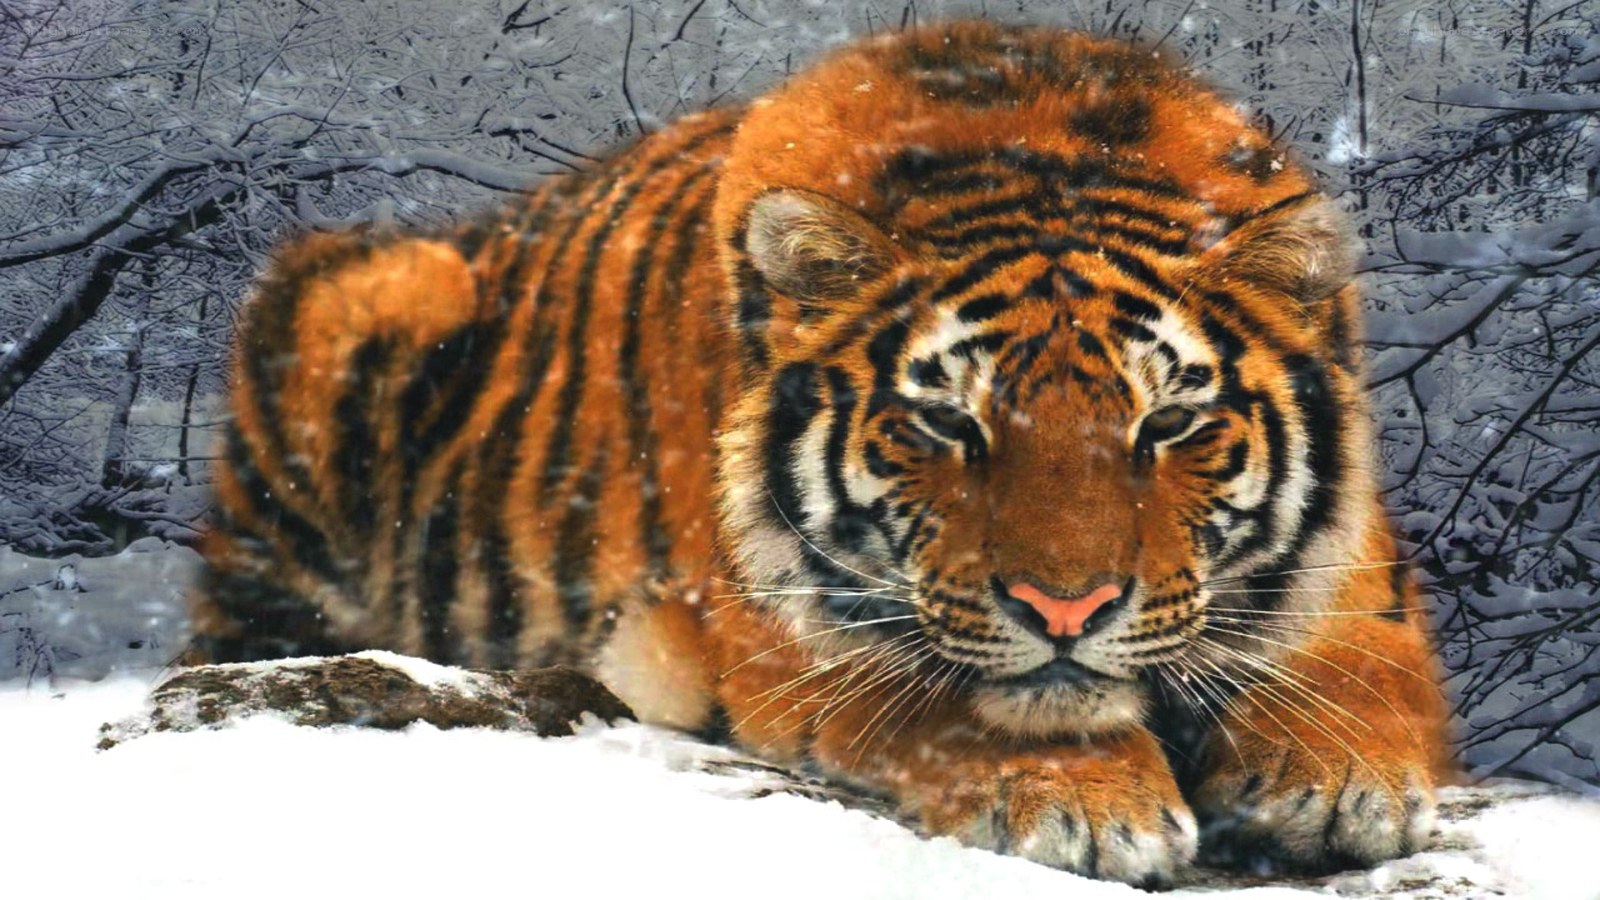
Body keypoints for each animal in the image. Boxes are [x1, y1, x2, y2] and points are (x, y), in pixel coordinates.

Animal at [191, 22, 1452, 885]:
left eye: (1167, 424)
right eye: (948, 424)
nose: (1067, 607)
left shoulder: (1356, 568)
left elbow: (1358, 664)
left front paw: (1337, 780)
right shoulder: (789, 626)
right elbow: (949, 697)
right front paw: (1089, 802)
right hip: (356, 311)